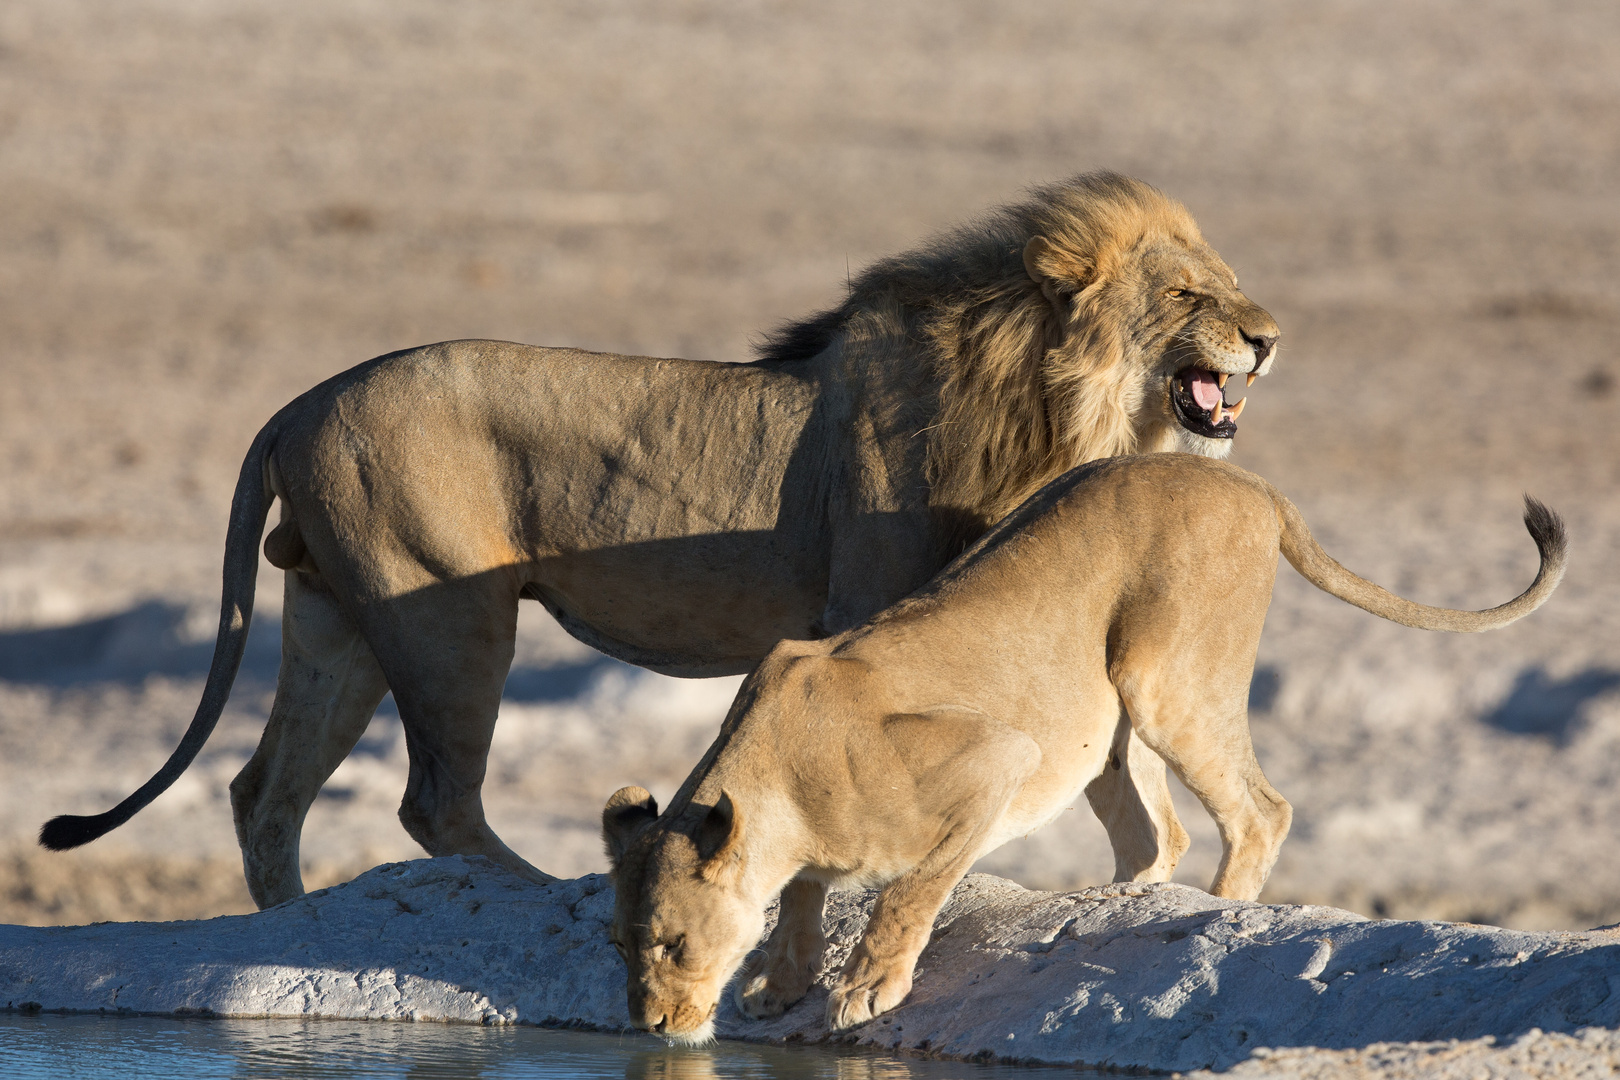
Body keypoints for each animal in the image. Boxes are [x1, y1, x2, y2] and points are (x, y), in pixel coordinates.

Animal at [41, 170, 1276, 913]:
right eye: (1186, 293)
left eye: (1229, 283)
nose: (1267, 336)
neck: (1061, 404)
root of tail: (297, 404)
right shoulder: (875, 611)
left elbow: (1125, 788)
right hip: (443, 609)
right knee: (432, 800)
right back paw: (548, 890)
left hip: (336, 617)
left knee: (267, 791)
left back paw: (297, 921)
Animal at [602, 453, 1561, 1042]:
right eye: (619, 947)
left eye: (673, 945)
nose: (651, 1028)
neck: (779, 790)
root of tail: (1247, 479)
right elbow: (804, 898)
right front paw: (780, 984)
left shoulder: (997, 757)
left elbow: (910, 890)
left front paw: (868, 985)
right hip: (1109, 724)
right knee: (1160, 833)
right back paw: (1123, 895)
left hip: (1160, 677)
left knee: (1261, 811)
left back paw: (1217, 914)